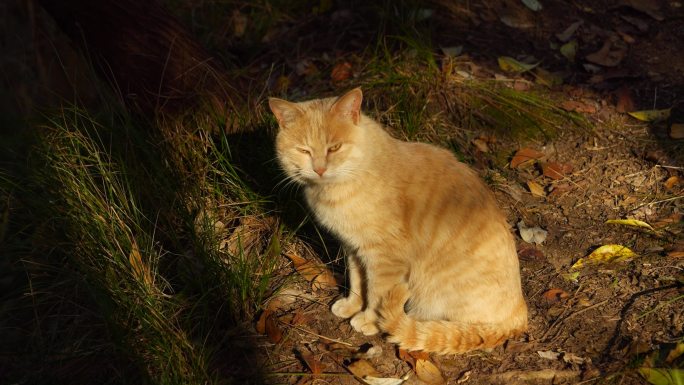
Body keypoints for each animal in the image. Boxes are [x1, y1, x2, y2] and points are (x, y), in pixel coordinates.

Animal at [270, 88, 528, 354]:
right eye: (304, 150)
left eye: (335, 148)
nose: (319, 169)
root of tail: (520, 314)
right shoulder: (354, 249)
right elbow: (357, 282)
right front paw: (352, 305)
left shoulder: (384, 258)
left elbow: (377, 292)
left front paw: (369, 320)